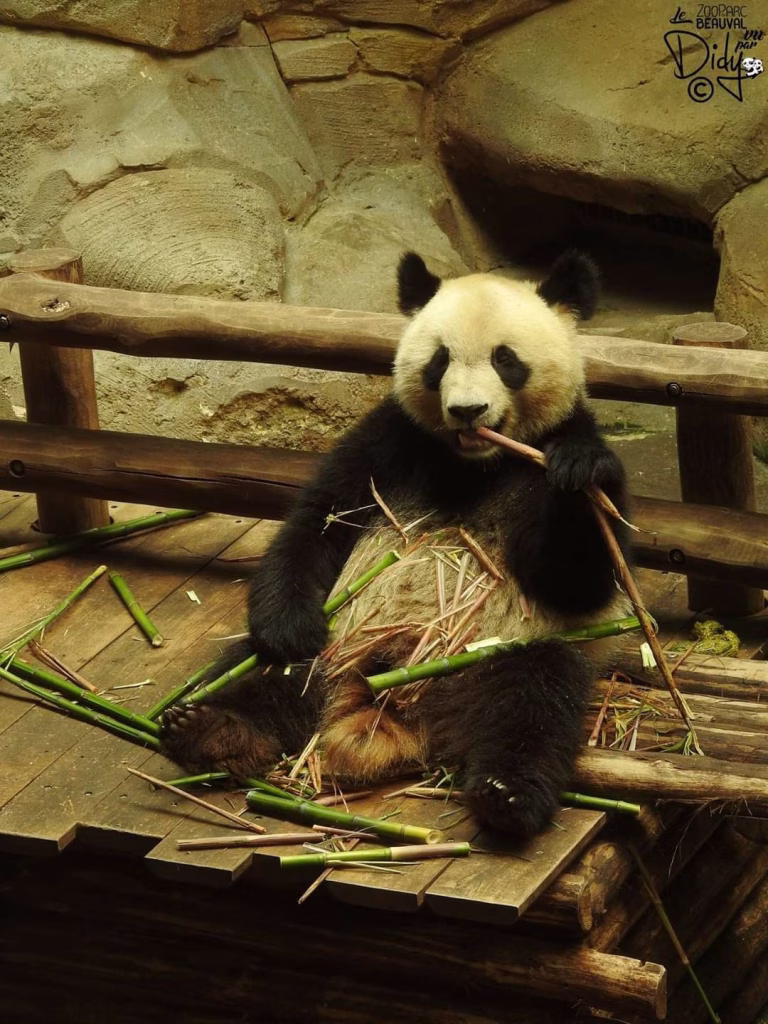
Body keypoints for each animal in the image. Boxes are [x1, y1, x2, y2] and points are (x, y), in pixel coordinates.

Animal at [161, 250, 631, 837]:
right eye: (439, 361)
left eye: (506, 359)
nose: (468, 411)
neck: (474, 463)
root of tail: (397, 705)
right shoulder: (390, 442)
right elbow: (318, 522)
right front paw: (289, 628)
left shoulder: (550, 448)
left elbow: (577, 582)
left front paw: (578, 472)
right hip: (342, 636)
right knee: (261, 671)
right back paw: (212, 728)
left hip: (504, 652)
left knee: (535, 702)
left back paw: (507, 794)